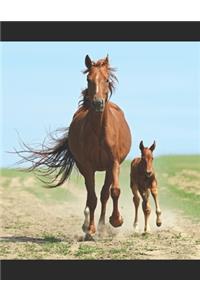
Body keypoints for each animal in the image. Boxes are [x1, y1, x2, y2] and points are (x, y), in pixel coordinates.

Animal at [16, 55, 132, 239]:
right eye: (88, 79)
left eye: (106, 79)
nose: (98, 103)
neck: (99, 131)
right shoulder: (87, 166)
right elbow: (92, 198)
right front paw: (90, 229)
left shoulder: (113, 163)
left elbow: (113, 191)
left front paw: (116, 221)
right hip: (84, 168)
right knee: (91, 195)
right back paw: (89, 225)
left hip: (107, 169)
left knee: (104, 194)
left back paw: (103, 225)